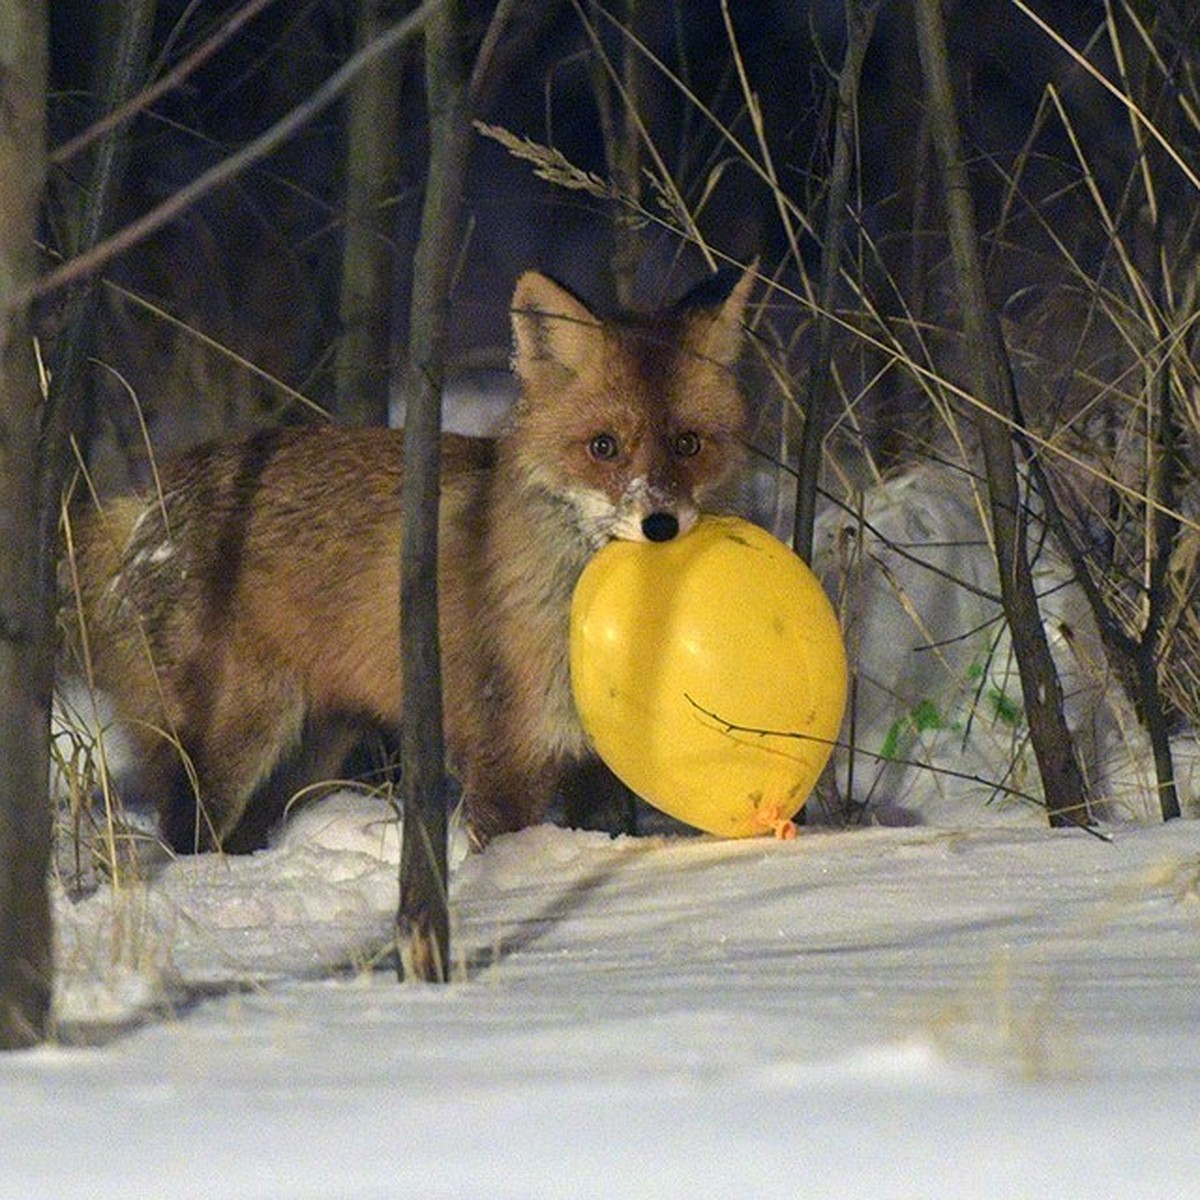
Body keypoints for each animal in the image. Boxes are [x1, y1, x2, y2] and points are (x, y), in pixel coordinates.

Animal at [63, 272, 748, 854]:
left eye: (688, 444)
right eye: (603, 447)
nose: (660, 524)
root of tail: (149, 497)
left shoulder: (597, 767)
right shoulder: (506, 755)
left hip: (310, 749)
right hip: (230, 742)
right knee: (182, 838)